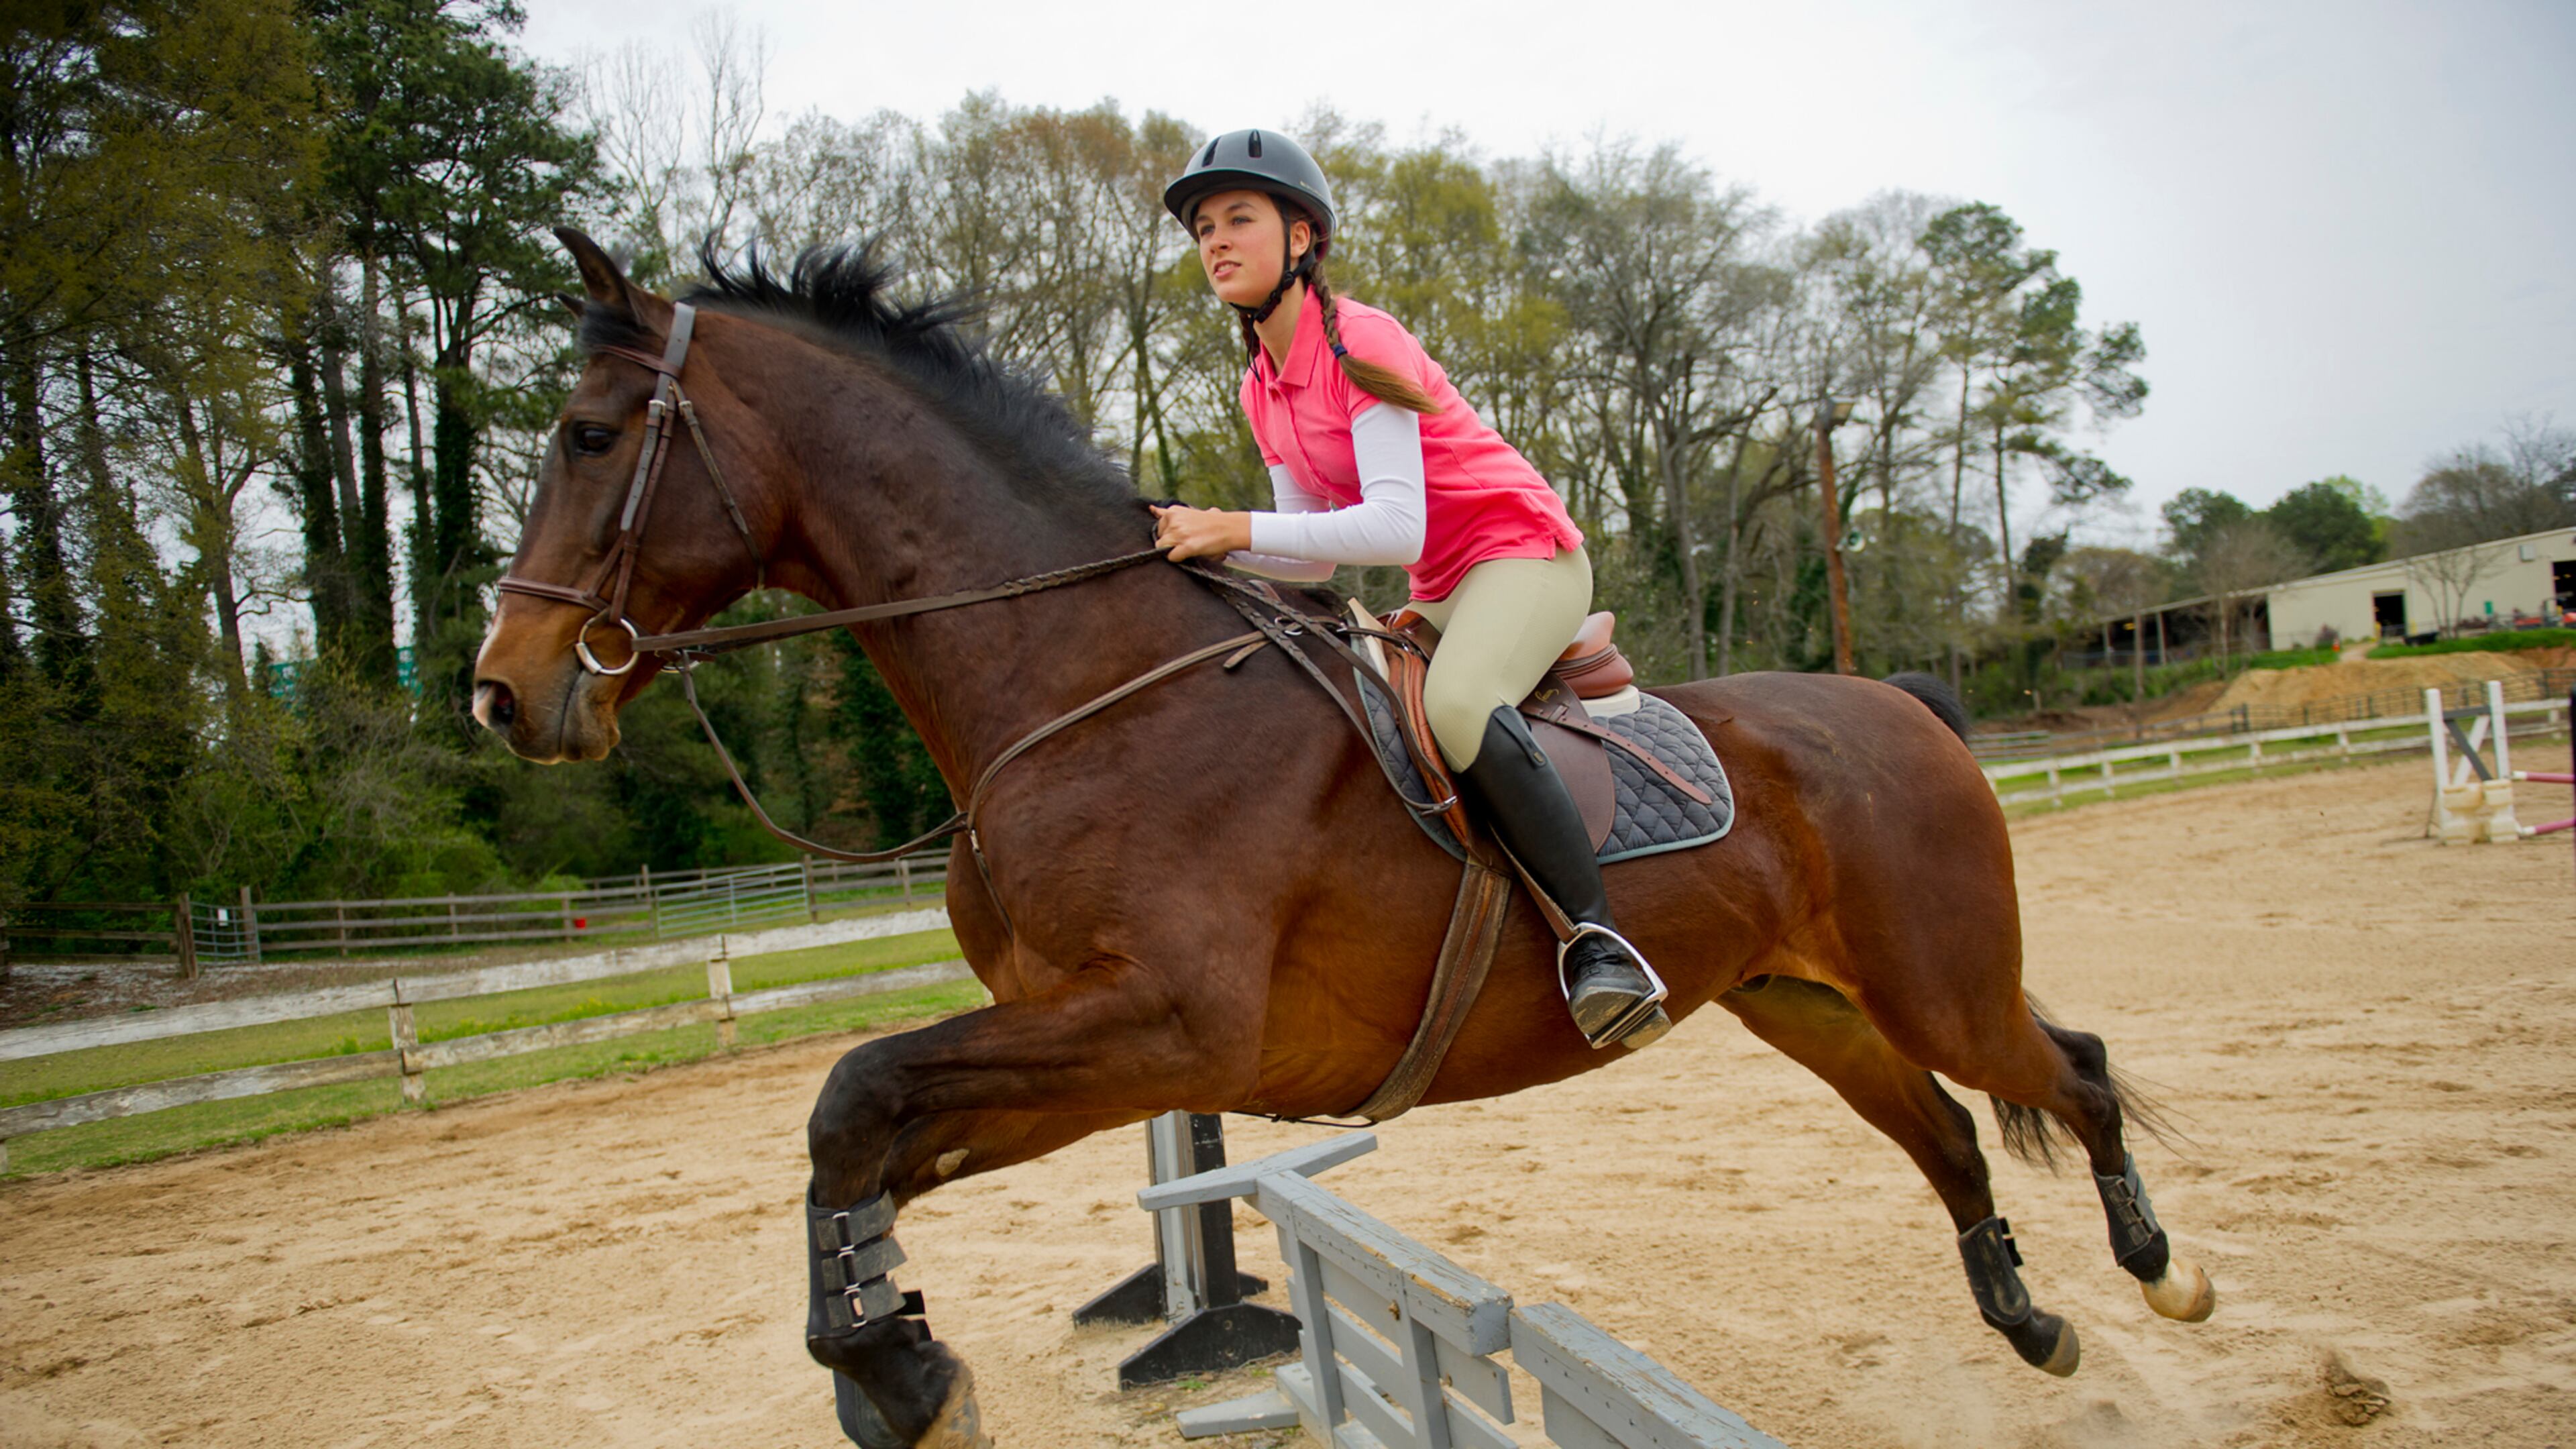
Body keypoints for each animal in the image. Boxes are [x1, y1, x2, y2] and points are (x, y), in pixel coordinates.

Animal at [472, 230, 2215, 1448]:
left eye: (587, 437)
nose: (503, 692)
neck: (1083, 683)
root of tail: (1904, 703)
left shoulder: (1166, 1026)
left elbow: (852, 1090)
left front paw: (896, 1369)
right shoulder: (1099, 1044)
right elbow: (865, 1131)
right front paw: (892, 1360)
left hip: (1931, 978)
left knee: (2065, 1068)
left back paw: (2161, 1272)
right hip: (1800, 999)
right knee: (1948, 1133)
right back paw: (2033, 1324)